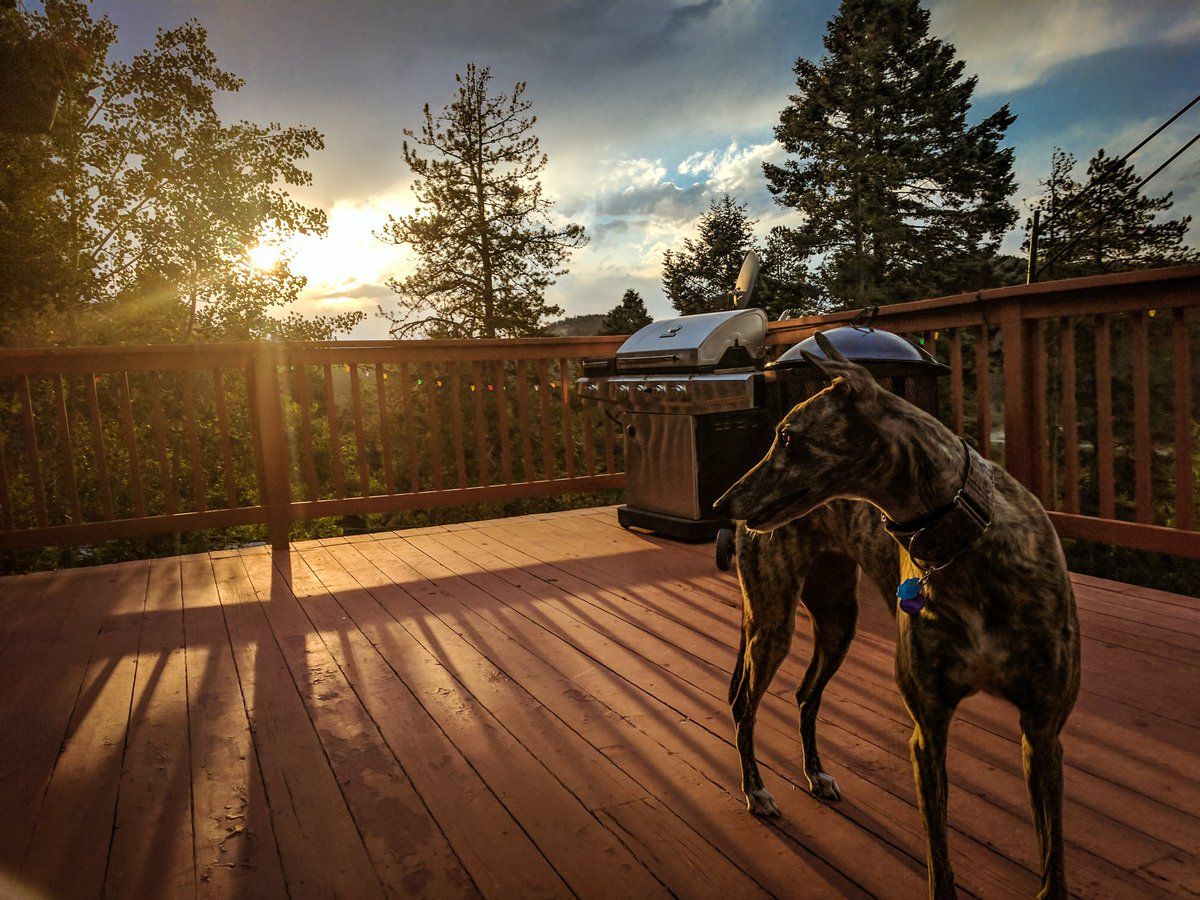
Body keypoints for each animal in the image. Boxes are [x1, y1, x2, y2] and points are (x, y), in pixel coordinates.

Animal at [713, 332, 1080, 899]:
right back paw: (757, 791)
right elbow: (940, 864)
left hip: (838, 620)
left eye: (789, 438)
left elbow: (1053, 863)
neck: (962, 540)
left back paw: (816, 774)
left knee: (804, 695)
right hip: (773, 623)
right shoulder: (927, 731)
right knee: (744, 706)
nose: (721, 505)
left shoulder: (1042, 731)